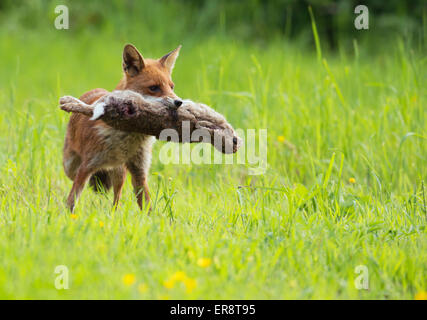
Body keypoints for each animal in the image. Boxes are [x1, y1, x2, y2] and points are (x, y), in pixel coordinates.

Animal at [62, 43, 183, 212]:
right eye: (154, 88)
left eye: (172, 87)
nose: (179, 102)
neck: (128, 138)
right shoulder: (86, 167)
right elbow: (72, 201)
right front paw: (67, 216)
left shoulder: (139, 172)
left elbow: (147, 207)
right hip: (70, 167)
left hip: (120, 173)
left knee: (116, 199)